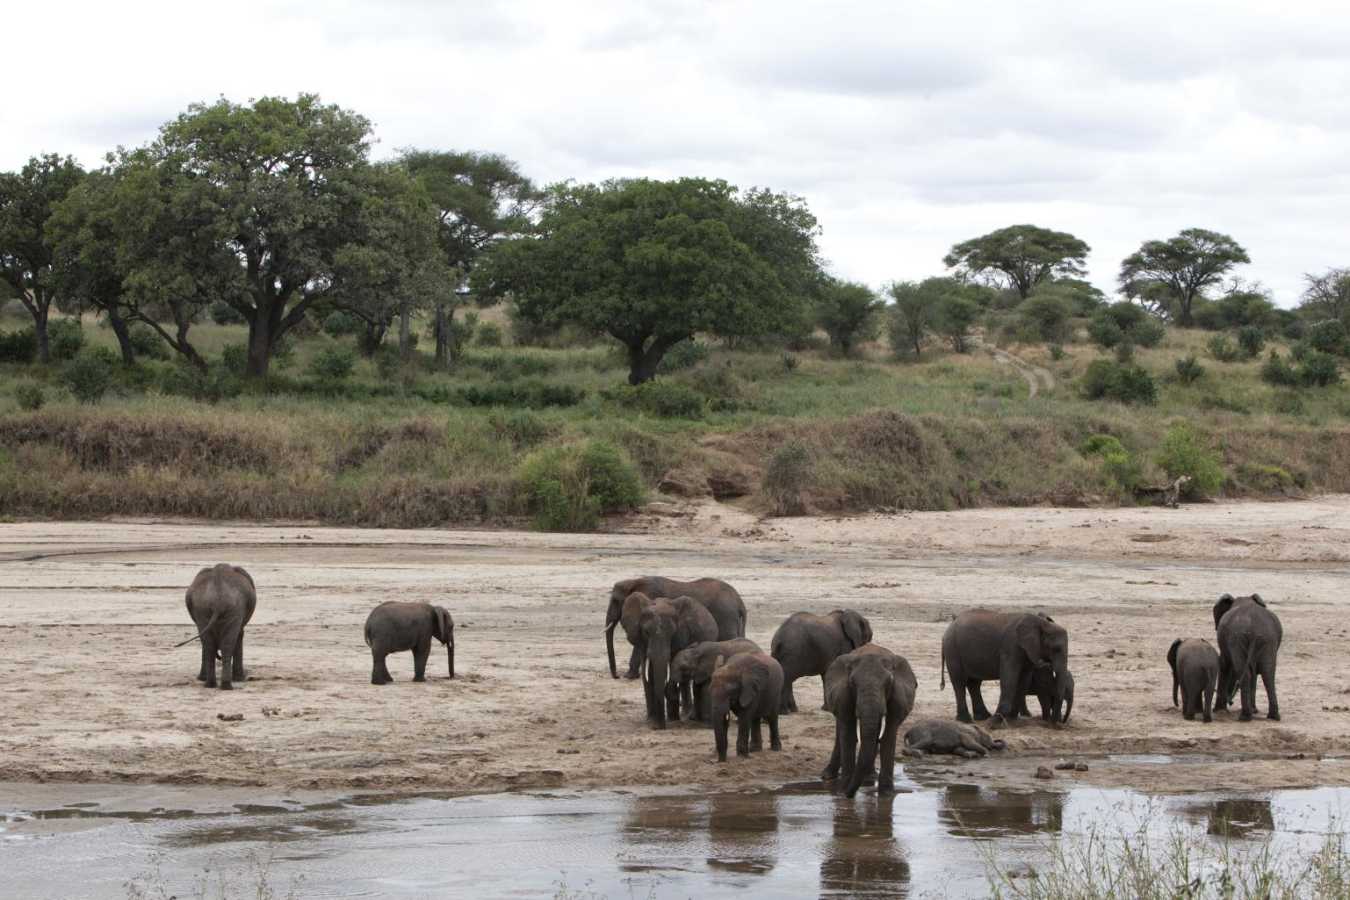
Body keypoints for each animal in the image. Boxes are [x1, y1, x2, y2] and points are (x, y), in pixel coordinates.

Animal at [605, 577, 747, 680]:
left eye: (616, 601)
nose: (616, 676)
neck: (634, 581)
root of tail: (739, 601)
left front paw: (628, 676)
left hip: (726, 616)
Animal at [630, 593, 720, 729]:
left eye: (672, 633)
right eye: (646, 632)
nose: (659, 727)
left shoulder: (680, 637)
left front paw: (671, 720)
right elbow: (651, 673)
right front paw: (652, 722)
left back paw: (689, 717)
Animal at [821, 644, 917, 798]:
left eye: (889, 682)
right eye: (852, 683)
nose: (849, 794)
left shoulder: (899, 697)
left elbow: (889, 736)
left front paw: (886, 795)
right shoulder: (843, 695)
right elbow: (848, 735)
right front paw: (843, 792)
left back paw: (870, 777)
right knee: (840, 728)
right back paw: (828, 776)